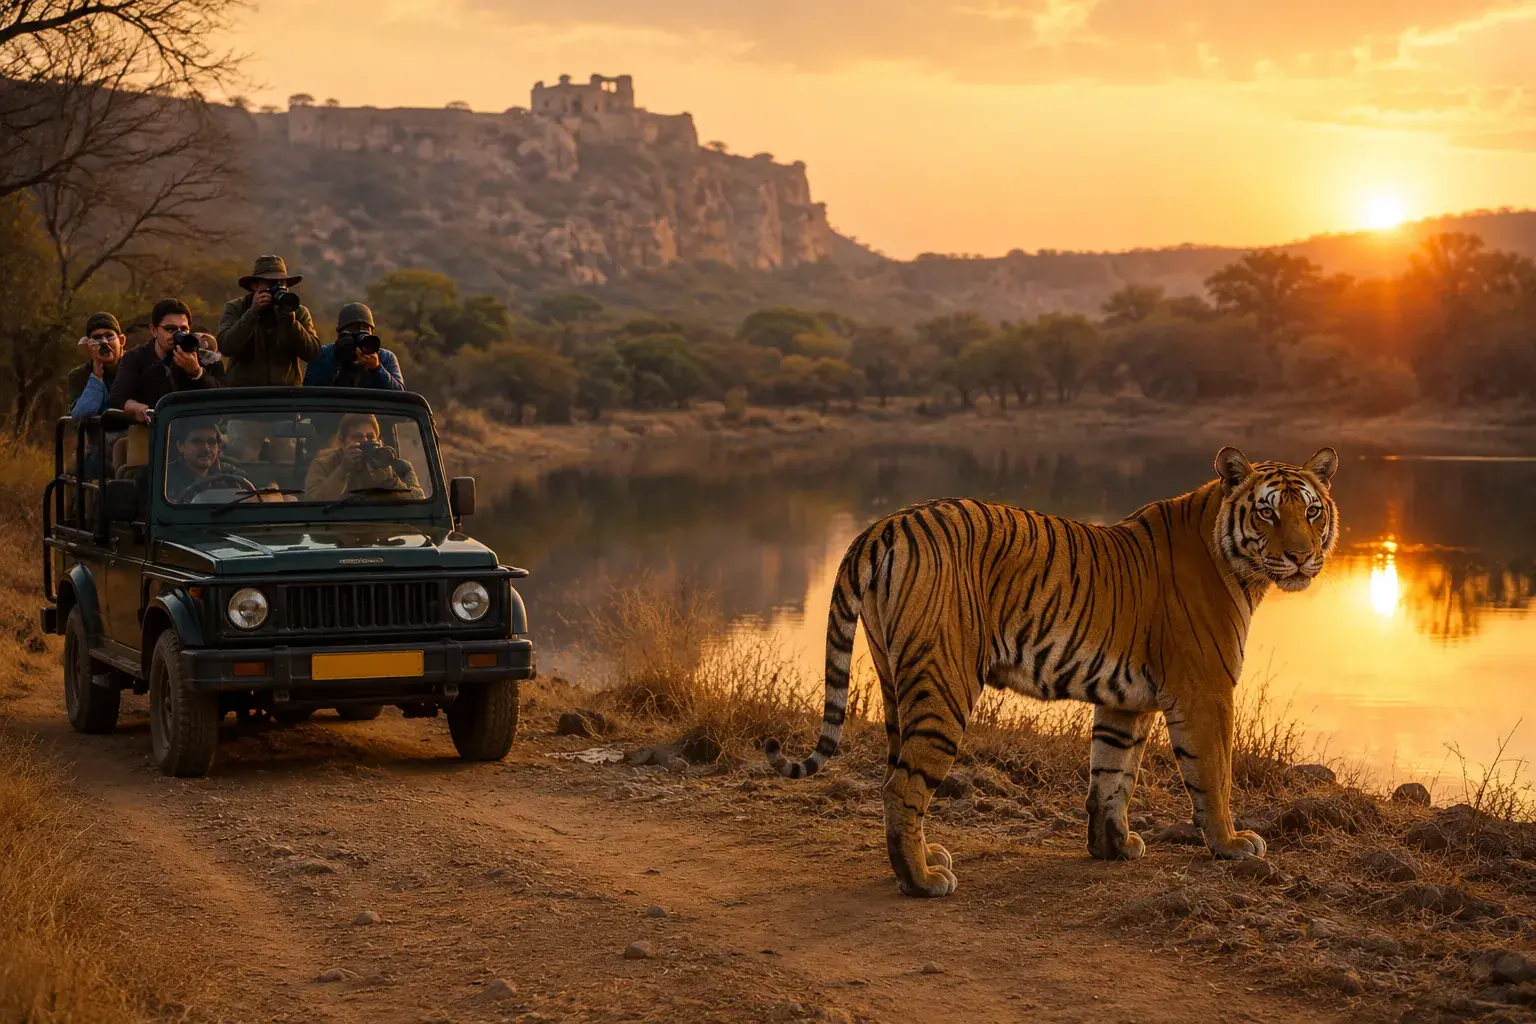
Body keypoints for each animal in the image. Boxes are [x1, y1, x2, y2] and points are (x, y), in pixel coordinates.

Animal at [765, 446, 1339, 898]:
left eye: (1312, 512)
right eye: (1267, 514)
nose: (1301, 557)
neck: (1238, 567)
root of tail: (883, 526)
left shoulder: (1126, 701)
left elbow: (1112, 775)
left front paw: (1113, 847)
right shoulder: (1206, 691)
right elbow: (1213, 775)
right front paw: (1231, 844)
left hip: (892, 679)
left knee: (891, 776)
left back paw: (919, 864)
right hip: (944, 683)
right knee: (902, 786)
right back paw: (922, 881)